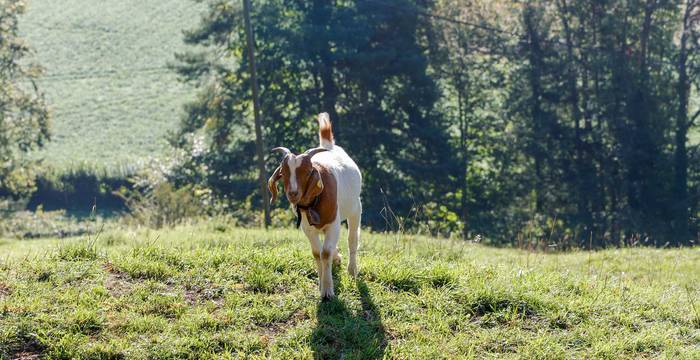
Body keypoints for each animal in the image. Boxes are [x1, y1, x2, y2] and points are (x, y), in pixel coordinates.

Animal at [268, 114, 364, 300]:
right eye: (283, 173)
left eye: (307, 172)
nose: (293, 193)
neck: (314, 202)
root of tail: (328, 145)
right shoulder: (308, 227)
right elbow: (316, 253)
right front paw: (322, 284)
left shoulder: (333, 223)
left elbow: (325, 252)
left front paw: (327, 291)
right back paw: (337, 258)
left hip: (355, 209)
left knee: (352, 239)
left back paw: (352, 270)